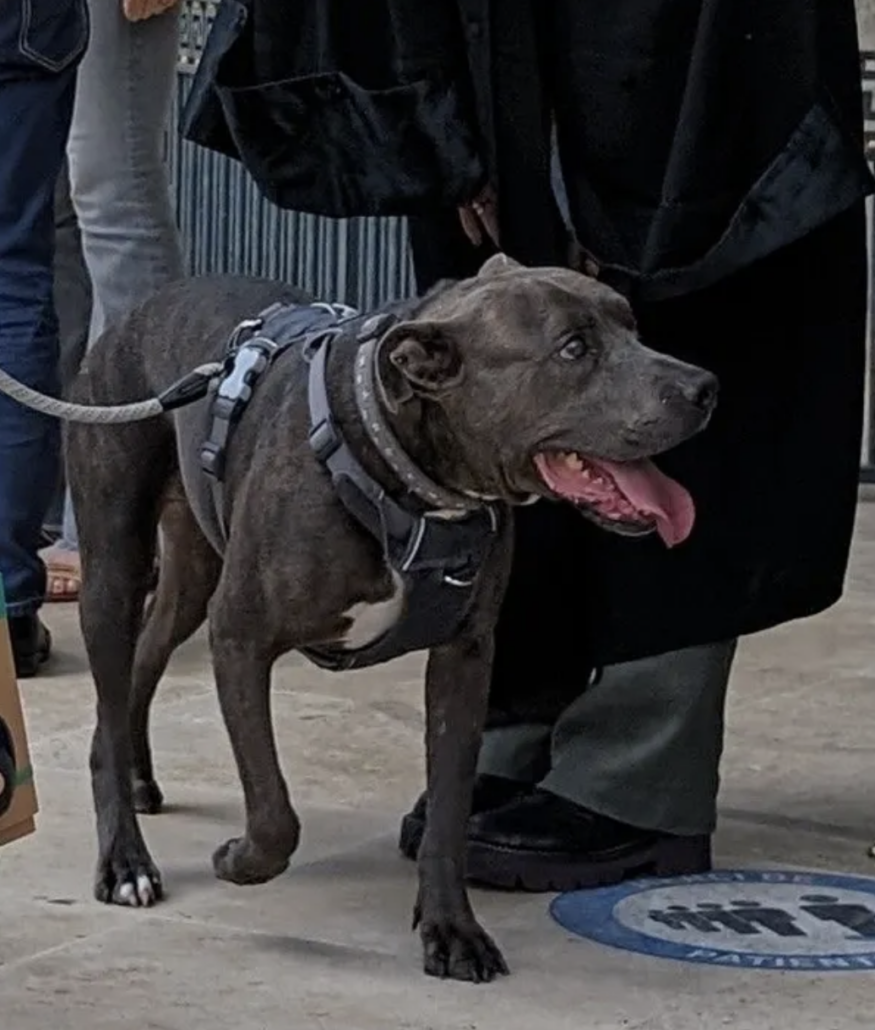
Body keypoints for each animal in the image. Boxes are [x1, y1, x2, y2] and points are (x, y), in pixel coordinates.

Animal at [66, 255, 716, 980]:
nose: (705, 387)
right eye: (573, 349)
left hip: (190, 573)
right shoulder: (240, 637)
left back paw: (136, 779)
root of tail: (129, 319)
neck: (400, 469)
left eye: (632, 325)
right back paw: (125, 859)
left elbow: (449, 814)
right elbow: (274, 812)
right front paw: (239, 861)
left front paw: (452, 930)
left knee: (144, 661)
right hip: (113, 570)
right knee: (111, 694)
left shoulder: (465, 657)